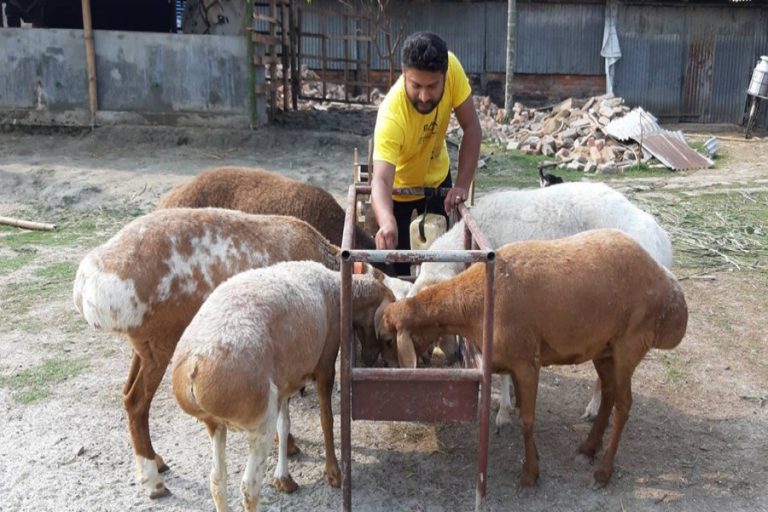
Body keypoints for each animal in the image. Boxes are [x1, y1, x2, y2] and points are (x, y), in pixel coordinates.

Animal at [171, 262, 392, 510]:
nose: (372, 359)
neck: (340, 291)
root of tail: (193, 367)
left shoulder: (285, 381)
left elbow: (285, 424)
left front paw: (283, 477)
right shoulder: (325, 365)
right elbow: (326, 419)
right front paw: (333, 472)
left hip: (215, 423)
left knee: (217, 480)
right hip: (259, 420)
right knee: (249, 486)